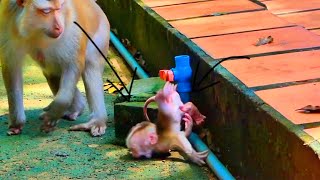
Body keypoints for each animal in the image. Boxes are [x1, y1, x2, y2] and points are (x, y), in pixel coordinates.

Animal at [0, 0, 110, 136]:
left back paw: (97, 121)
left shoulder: (72, 30)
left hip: (101, 35)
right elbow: (12, 69)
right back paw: (76, 108)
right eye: (46, 11)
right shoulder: (7, 25)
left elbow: (73, 63)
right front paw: (17, 123)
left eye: (60, 8)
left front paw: (53, 115)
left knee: (91, 66)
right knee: (51, 72)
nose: (59, 27)